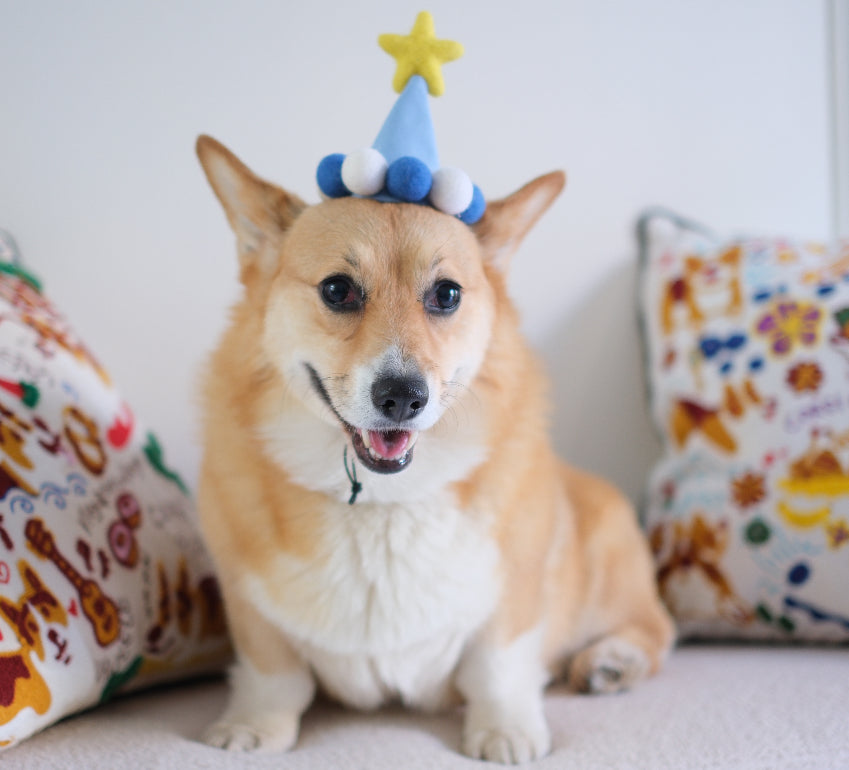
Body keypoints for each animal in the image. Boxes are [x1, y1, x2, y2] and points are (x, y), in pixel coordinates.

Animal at [195, 134, 672, 760]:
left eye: (447, 294)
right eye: (337, 289)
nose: (402, 396)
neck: (380, 506)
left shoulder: (512, 598)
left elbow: (498, 668)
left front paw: (506, 733)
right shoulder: (249, 606)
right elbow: (273, 673)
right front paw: (252, 726)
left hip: (606, 565)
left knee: (657, 629)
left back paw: (611, 662)